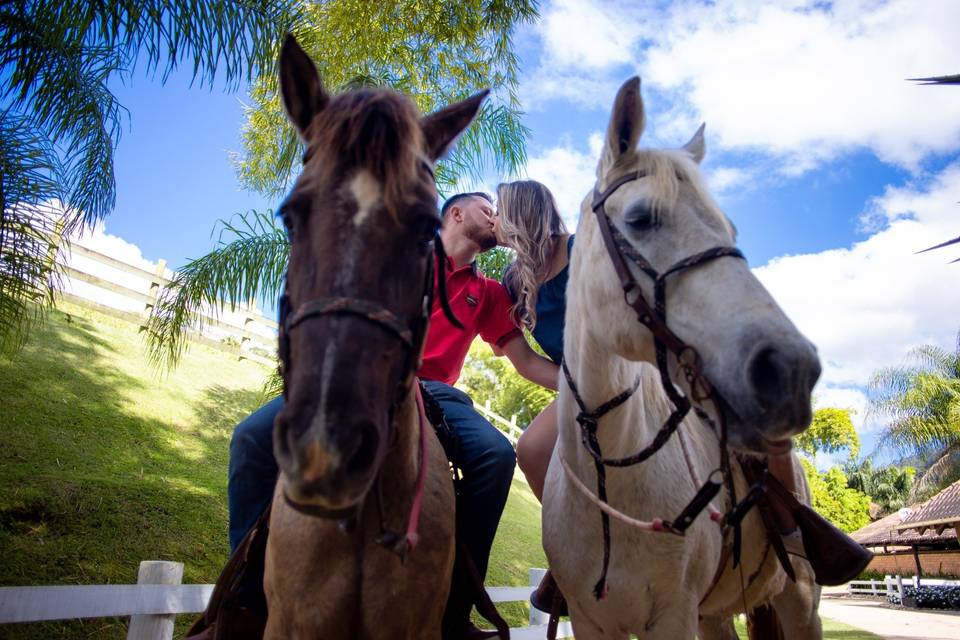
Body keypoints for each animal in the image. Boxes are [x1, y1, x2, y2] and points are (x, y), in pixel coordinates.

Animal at [544, 76, 820, 640]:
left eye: (731, 232)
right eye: (640, 218)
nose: (792, 371)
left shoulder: (673, 617)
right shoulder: (589, 619)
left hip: (799, 603)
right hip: (715, 615)